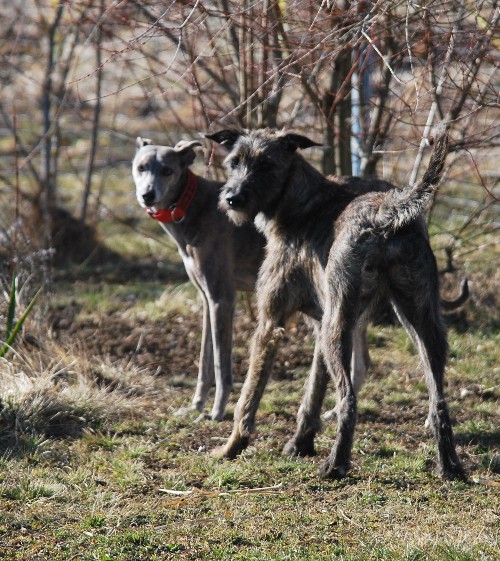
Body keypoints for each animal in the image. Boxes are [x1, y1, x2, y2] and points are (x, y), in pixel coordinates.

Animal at [207, 126, 465, 480]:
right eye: (234, 162)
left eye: (266, 165)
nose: (233, 198)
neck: (300, 203)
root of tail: (385, 213)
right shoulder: (319, 321)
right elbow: (313, 391)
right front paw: (301, 442)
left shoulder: (271, 324)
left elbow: (248, 397)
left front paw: (231, 448)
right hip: (420, 323)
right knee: (438, 399)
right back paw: (449, 465)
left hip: (339, 329)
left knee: (348, 400)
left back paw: (336, 465)